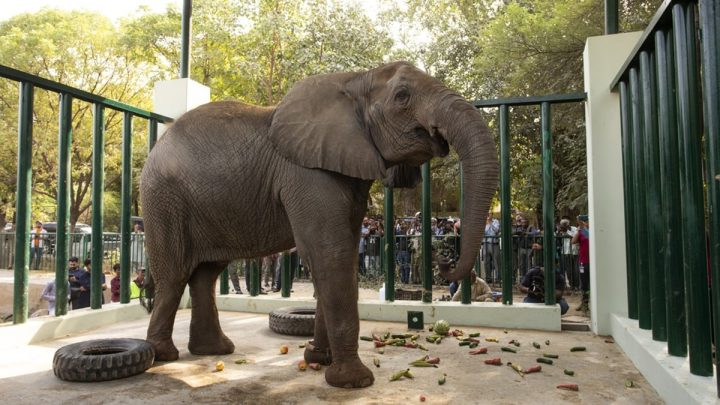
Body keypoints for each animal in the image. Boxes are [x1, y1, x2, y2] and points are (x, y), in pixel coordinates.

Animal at [140, 61, 499, 388]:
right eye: (402, 96)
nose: (445, 261)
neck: (356, 80)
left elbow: (341, 257)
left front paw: (318, 359)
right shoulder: (307, 175)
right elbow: (331, 254)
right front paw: (353, 381)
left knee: (206, 275)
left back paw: (214, 350)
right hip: (164, 200)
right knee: (174, 275)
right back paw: (163, 355)